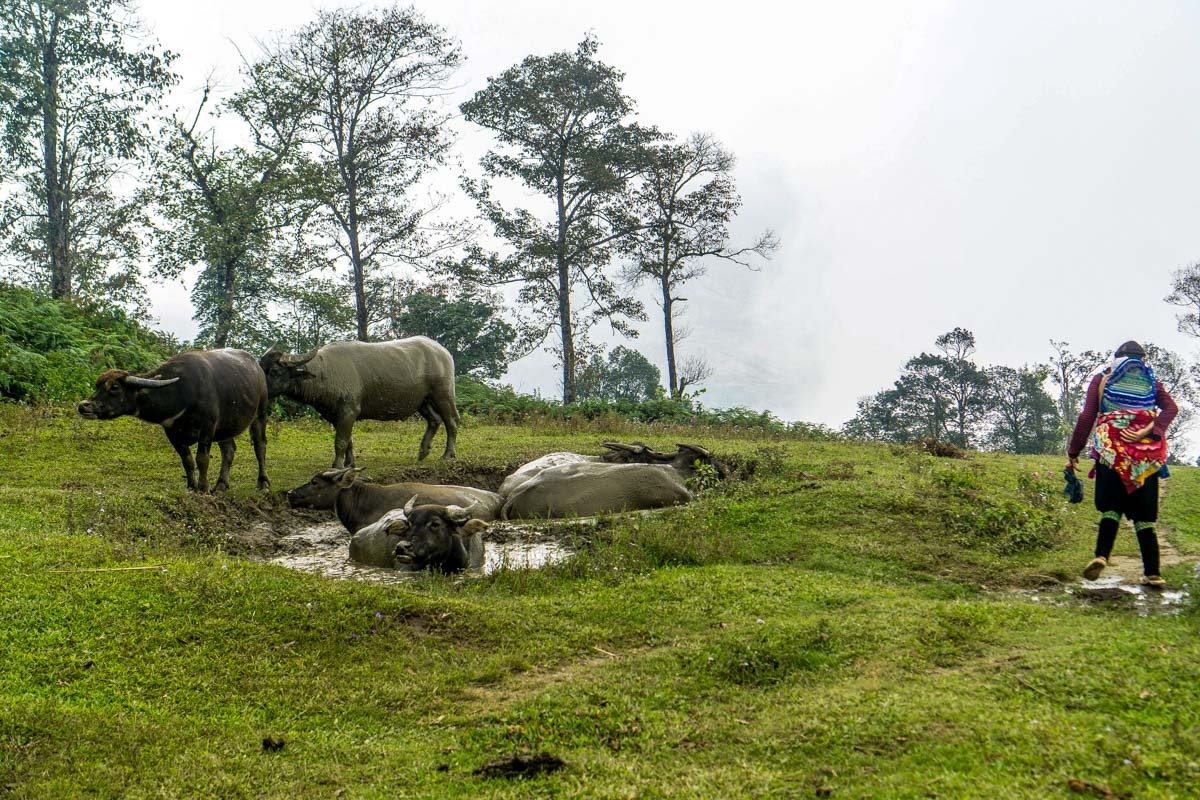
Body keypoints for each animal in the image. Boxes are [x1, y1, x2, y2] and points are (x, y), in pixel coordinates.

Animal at [77, 349, 270, 492]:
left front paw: (203, 488)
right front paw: (191, 487)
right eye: (97, 385)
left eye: (114, 387)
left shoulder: (208, 427)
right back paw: (221, 485)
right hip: (227, 426)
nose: (84, 406)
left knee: (260, 446)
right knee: (229, 449)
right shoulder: (172, 432)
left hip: (260, 413)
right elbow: (187, 461)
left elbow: (202, 459)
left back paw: (263, 483)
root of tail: (258, 368)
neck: (182, 393)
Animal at [260, 337, 458, 467]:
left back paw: (447, 455)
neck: (325, 372)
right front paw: (350, 463)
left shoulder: (348, 411)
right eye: (261, 366)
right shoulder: (336, 416)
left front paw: (337, 465)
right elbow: (349, 441)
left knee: (451, 421)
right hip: (422, 401)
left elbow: (340, 441)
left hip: (443, 395)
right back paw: (423, 452)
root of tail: (443, 352)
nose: (259, 388)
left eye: (275, 371)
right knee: (434, 420)